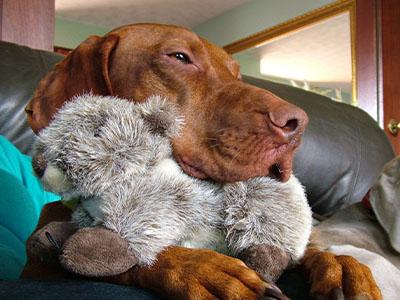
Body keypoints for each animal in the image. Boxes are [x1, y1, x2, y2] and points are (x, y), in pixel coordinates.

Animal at [22, 24, 382, 300]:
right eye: (179, 57)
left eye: (236, 74)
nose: (299, 124)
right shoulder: (35, 269)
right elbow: (130, 254)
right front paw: (204, 269)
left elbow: (307, 251)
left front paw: (339, 265)